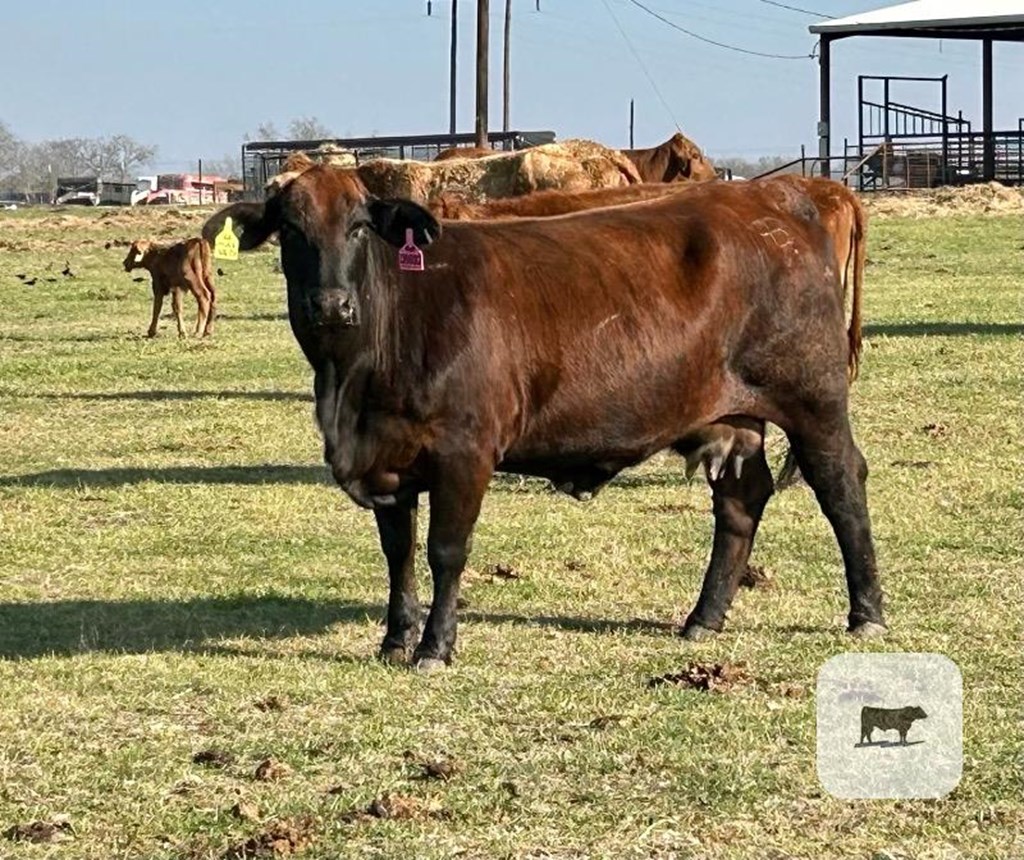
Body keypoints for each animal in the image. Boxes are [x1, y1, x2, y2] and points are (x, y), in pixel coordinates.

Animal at [203, 164, 884, 667]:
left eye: (360, 226)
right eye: (291, 231)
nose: (331, 304)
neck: (355, 379)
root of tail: (778, 195)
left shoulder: (464, 451)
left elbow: (445, 550)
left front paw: (435, 647)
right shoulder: (389, 460)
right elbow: (398, 554)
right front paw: (395, 640)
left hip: (814, 401)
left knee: (841, 485)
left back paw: (867, 614)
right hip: (734, 416)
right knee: (741, 501)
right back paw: (703, 619)